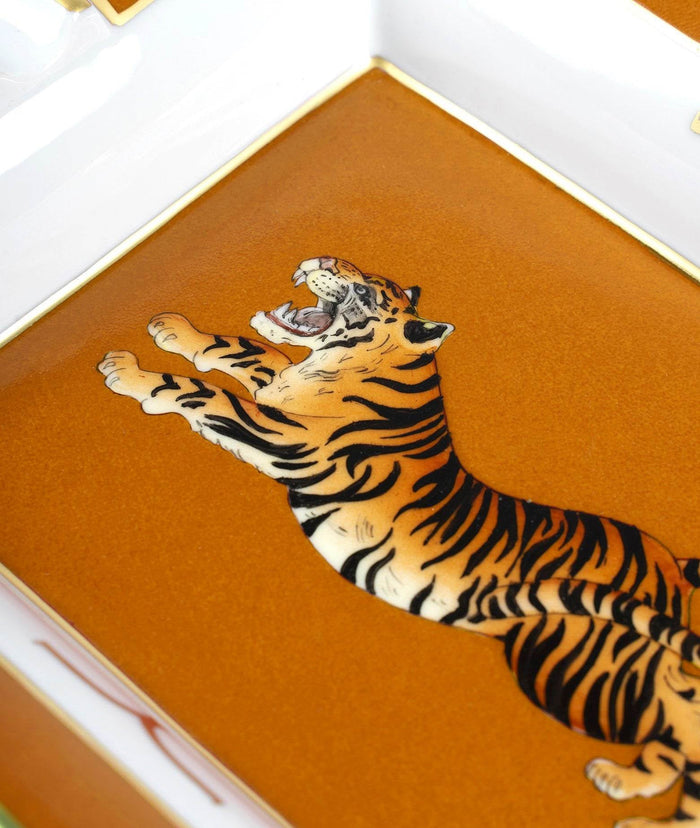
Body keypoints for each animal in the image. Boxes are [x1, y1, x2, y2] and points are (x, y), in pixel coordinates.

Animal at [98, 256, 700, 827]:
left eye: (366, 291)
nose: (321, 258)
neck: (344, 365)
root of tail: (673, 564)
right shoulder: (278, 388)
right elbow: (246, 348)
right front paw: (173, 328)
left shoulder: (284, 434)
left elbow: (207, 392)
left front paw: (126, 371)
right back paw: (623, 788)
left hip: (577, 667)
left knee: (682, 734)